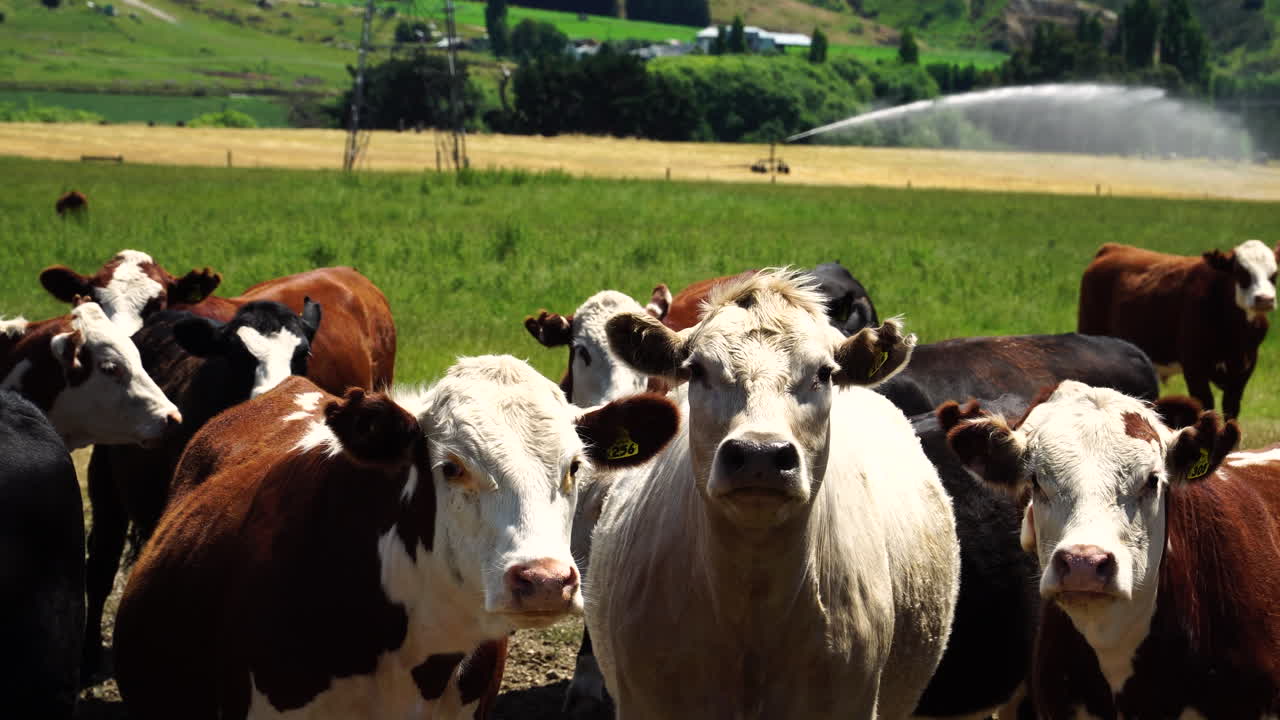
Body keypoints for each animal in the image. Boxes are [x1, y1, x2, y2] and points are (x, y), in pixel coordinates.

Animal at [1078, 239, 1279, 419]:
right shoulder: (1194, 366)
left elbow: (1231, 409)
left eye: (1274, 274)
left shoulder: (1244, 368)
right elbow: (1205, 405)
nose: (1264, 299)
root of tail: (1112, 248)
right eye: (1241, 272)